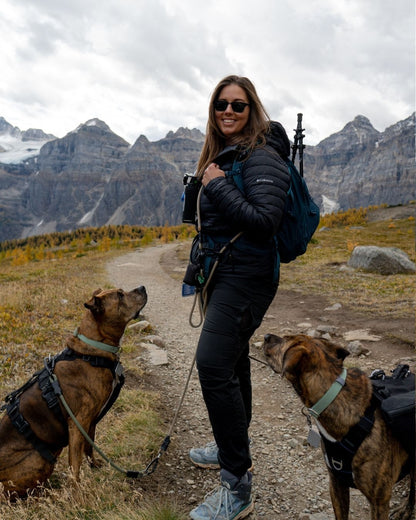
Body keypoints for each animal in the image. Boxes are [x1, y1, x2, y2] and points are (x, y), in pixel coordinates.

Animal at [0, 286, 147, 498]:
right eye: (120, 295)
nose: (142, 287)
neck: (91, 351)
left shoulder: (90, 421)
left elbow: (89, 447)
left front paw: (94, 466)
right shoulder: (78, 424)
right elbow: (75, 464)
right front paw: (77, 492)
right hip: (39, 461)